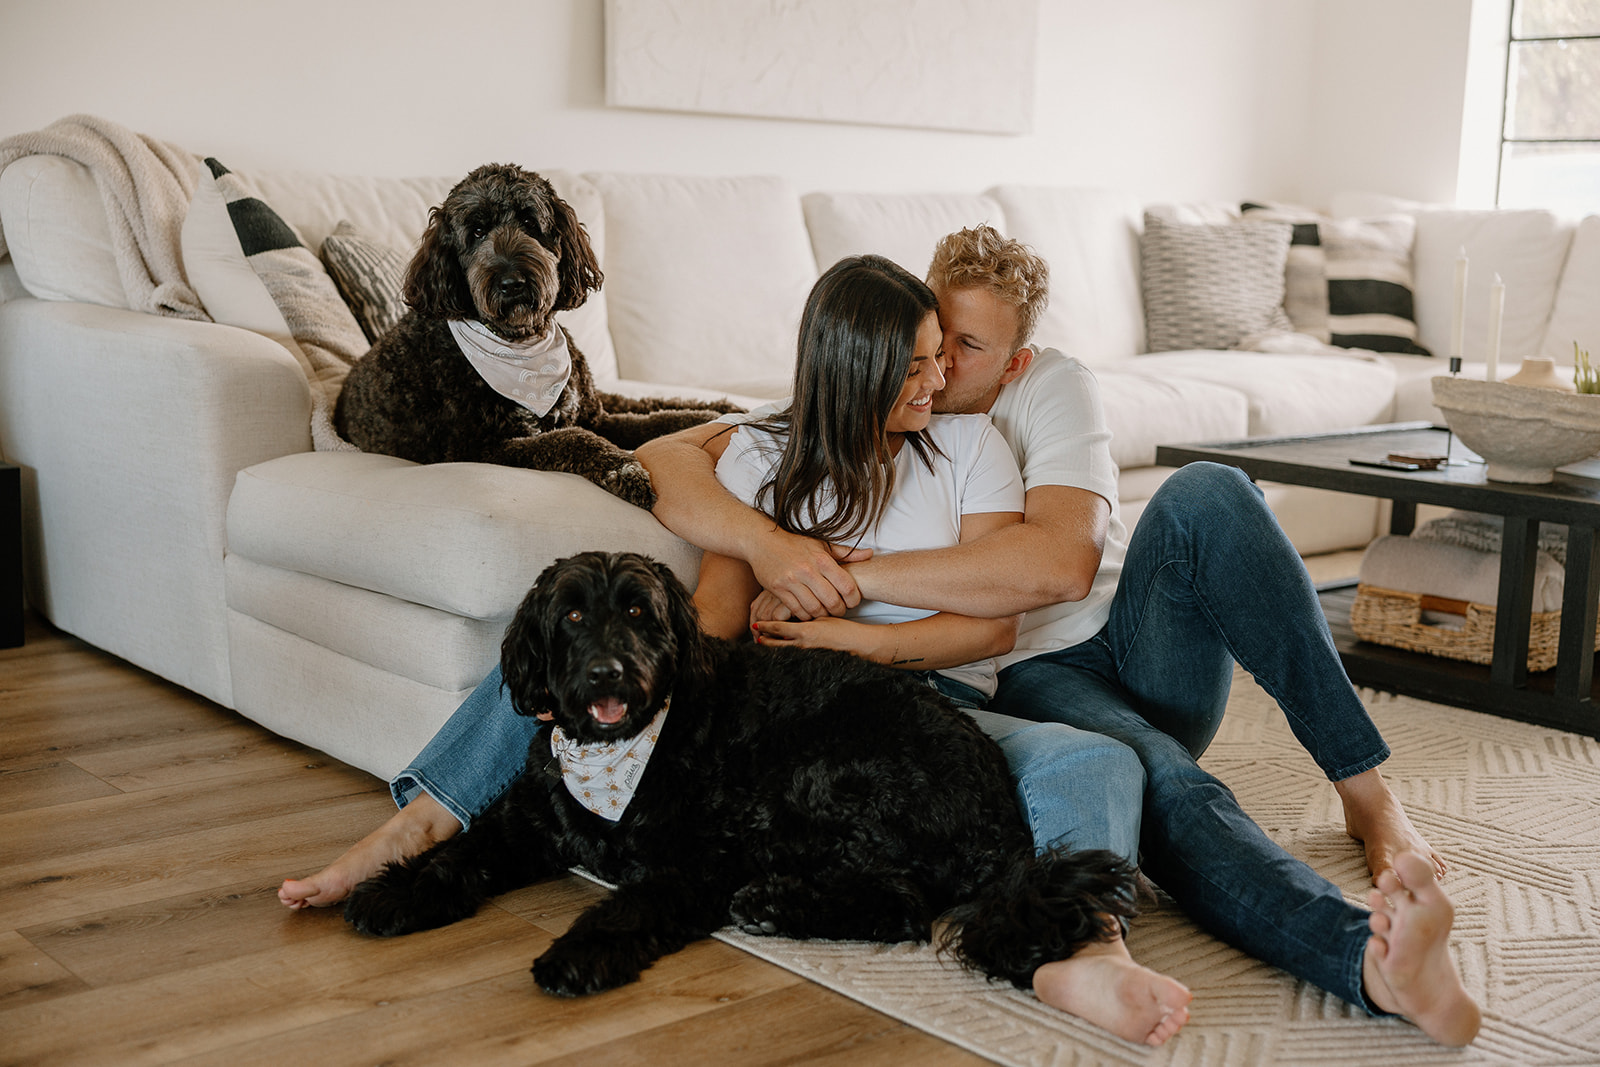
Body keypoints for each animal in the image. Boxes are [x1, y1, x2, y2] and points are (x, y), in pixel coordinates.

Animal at [336, 164, 742, 511]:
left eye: (530, 222)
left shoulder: (595, 416)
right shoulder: (483, 449)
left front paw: (711, 417)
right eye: (477, 232)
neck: (523, 343)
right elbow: (573, 439)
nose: (511, 282)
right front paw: (624, 470)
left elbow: (658, 419)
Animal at [345, 556, 1139, 998]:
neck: (626, 751)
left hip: (822, 779)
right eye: (570, 614)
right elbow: (455, 856)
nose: (608, 672)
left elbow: (626, 906)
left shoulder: (702, 858)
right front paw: (395, 892)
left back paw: (774, 904)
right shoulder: (526, 822)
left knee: (905, 904)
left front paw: (580, 952)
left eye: (638, 609)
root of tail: (1004, 810)